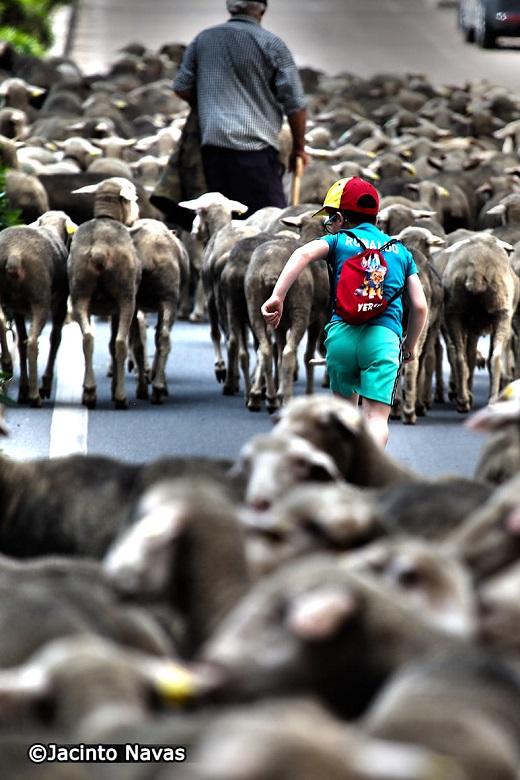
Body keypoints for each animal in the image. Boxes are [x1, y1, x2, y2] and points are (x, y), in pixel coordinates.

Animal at [0, 218, 70, 406]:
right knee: (32, 343)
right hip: (40, 299)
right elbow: (55, 338)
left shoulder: (17, 310)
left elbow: (20, 342)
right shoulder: (61, 302)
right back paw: (35, 396)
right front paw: (44, 385)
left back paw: (7, 363)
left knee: (5, 324)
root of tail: (14, 254)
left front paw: (23, 389)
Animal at [66, 176, 142, 408]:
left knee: (88, 339)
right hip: (126, 295)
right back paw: (121, 396)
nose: (137, 215)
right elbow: (114, 344)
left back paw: (89, 392)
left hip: (80, 293)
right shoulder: (118, 308)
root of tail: (99, 249)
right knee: (120, 343)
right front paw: (115, 387)